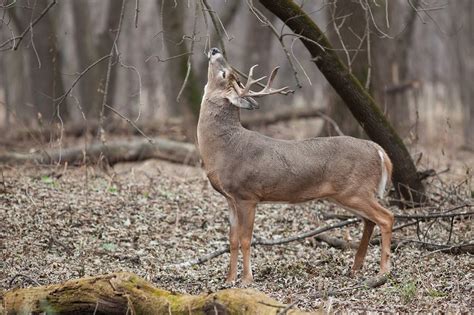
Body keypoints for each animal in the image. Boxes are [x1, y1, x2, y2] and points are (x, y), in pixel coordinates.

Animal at [198, 47, 394, 286]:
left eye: (224, 73)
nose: (215, 49)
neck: (223, 149)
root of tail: (379, 150)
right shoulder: (230, 198)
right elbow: (232, 239)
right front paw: (229, 280)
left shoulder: (247, 195)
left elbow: (245, 238)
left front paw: (246, 279)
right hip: (348, 194)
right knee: (369, 220)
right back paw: (356, 267)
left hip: (355, 190)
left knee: (386, 217)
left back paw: (383, 271)